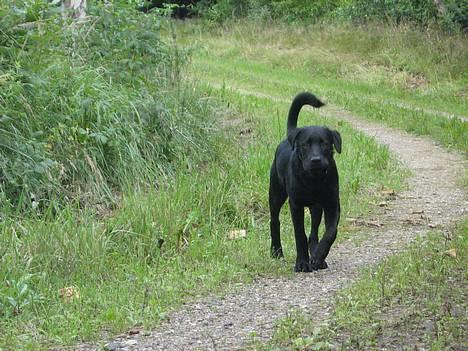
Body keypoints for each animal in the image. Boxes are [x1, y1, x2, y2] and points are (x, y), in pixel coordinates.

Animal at [268, 92, 342, 274]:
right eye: (305, 145)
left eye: (324, 143)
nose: (315, 160)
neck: (314, 180)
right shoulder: (296, 204)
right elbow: (299, 234)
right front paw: (302, 263)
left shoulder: (332, 204)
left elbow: (330, 232)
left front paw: (318, 256)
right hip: (276, 194)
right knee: (274, 221)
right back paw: (276, 251)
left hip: (316, 208)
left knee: (314, 231)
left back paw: (316, 255)